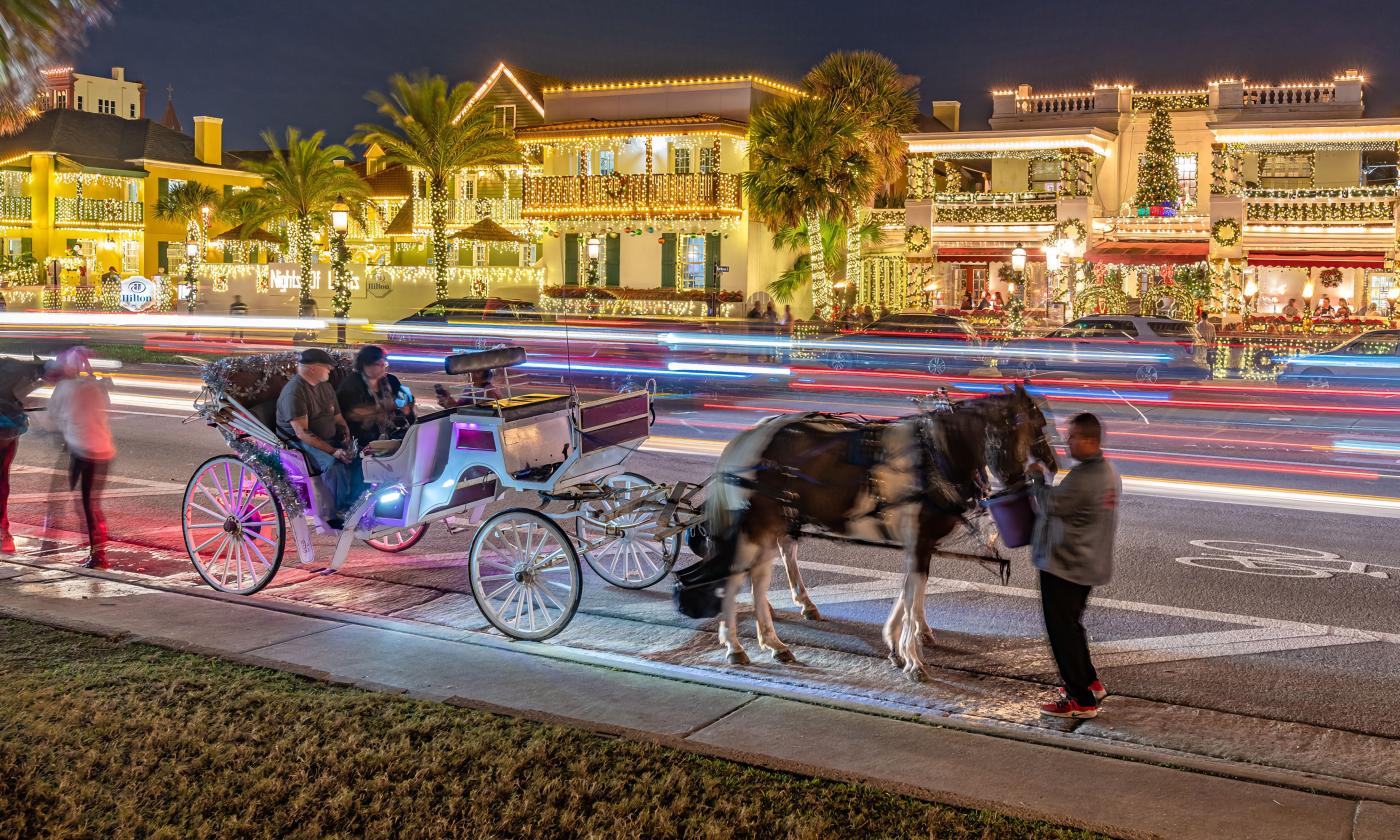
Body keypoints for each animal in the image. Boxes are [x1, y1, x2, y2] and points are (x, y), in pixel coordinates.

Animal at [672, 386, 1052, 683]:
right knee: (737, 577)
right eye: (1034, 427)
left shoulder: (919, 542)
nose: (1049, 469)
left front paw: (897, 645)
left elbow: (910, 589)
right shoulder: (919, 540)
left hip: (771, 524)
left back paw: (774, 642)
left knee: (761, 576)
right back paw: (735, 645)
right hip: (754, 525)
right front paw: (912, 658)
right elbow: (913, 593)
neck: (934, 454)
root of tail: (747, 436)